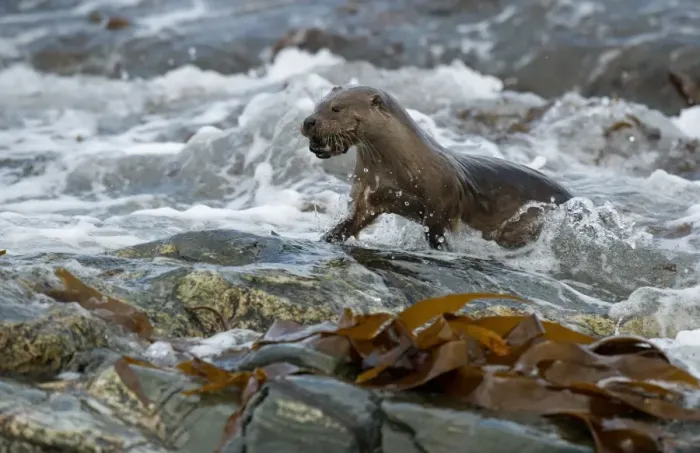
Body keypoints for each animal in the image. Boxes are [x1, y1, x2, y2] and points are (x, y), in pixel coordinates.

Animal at [300, 85, 573, 250]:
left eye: (336, 108)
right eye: (316, 106)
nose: (309, 121)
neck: (402, 168)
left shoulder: (442, 202)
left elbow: (437, 231)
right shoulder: (368, 194)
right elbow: (353, 220)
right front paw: (328, 237)